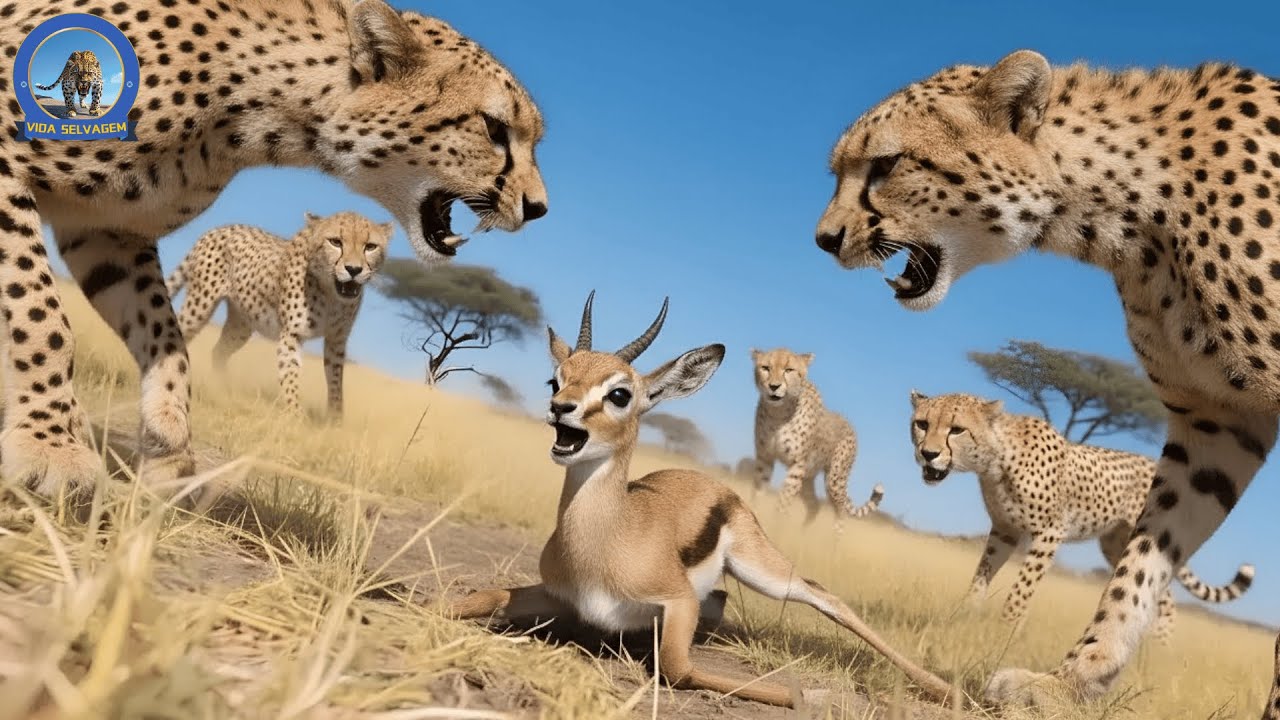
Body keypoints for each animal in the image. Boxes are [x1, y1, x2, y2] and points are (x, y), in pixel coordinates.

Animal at [166, 211, 390, 417]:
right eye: (336, 242)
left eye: (370, 246)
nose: (354, 269)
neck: (331, 295)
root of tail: (217, 229)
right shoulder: (292, 334)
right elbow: (290, 373)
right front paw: (295, 416)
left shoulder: (337, 340)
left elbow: (335, 381)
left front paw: (335, 420)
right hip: (199, 306)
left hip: (241, 325)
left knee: (218, 352)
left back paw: (221, 387)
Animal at [751, 347, 884, 532]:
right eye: (765, 368)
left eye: (789, 370)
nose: (774, 386)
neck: (778, 413)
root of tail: (850, 424)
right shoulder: (765, 457)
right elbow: (757, 493)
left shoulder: (796, 466)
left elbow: (783, 502)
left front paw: (774, 526)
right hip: (808, 477)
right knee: (815, 505)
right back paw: (803, 534)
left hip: (834, 479)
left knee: (841, 511)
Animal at [908, 390, 1253, 638]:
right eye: (922, 424)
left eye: (957, 430)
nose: (928, 454)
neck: (996, 461)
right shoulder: (1005, 530)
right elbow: (982, 574)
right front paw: (965, 614)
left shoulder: (1050, 532)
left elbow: (1022, 590)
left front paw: (1003, 631)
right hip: (1117, 545)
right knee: (1158, 595)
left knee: (1165, 601)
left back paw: (1157, 655)